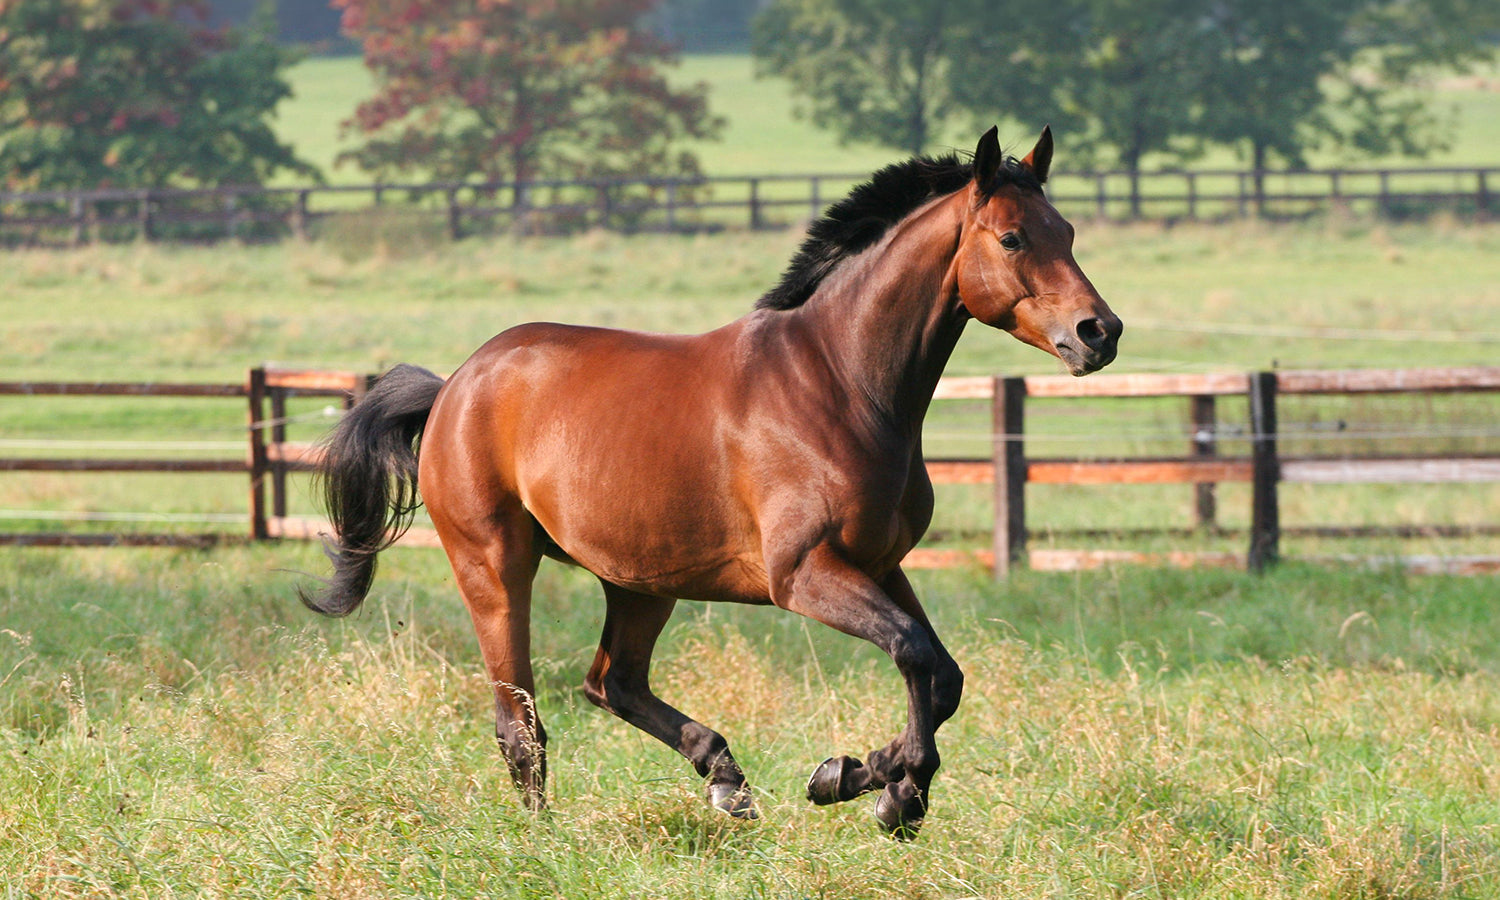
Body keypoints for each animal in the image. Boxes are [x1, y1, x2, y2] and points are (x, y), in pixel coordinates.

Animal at [300, 127, 1122, 839]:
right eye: (1012, 238)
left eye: (1068, 232)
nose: (1099, 333)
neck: (841, 383)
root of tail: (455, 387)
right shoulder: (805, 574)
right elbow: (916, 656)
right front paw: (883, 786)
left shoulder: (882, 565)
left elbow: (940, 675)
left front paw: (870, 782)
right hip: (496, 566)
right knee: (521, 721)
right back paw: (546, 837)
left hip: (639, 580)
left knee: (613, 683)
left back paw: (726, 778)